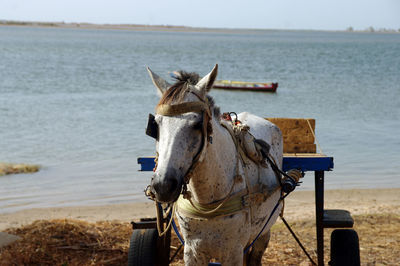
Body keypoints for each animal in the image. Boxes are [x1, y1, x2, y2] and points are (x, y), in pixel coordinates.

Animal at [145, 63, 282, 264]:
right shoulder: (192, 252)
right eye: (156, 125)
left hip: (263, 232)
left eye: (196, 124)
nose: (163, 186)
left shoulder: (233, 252)